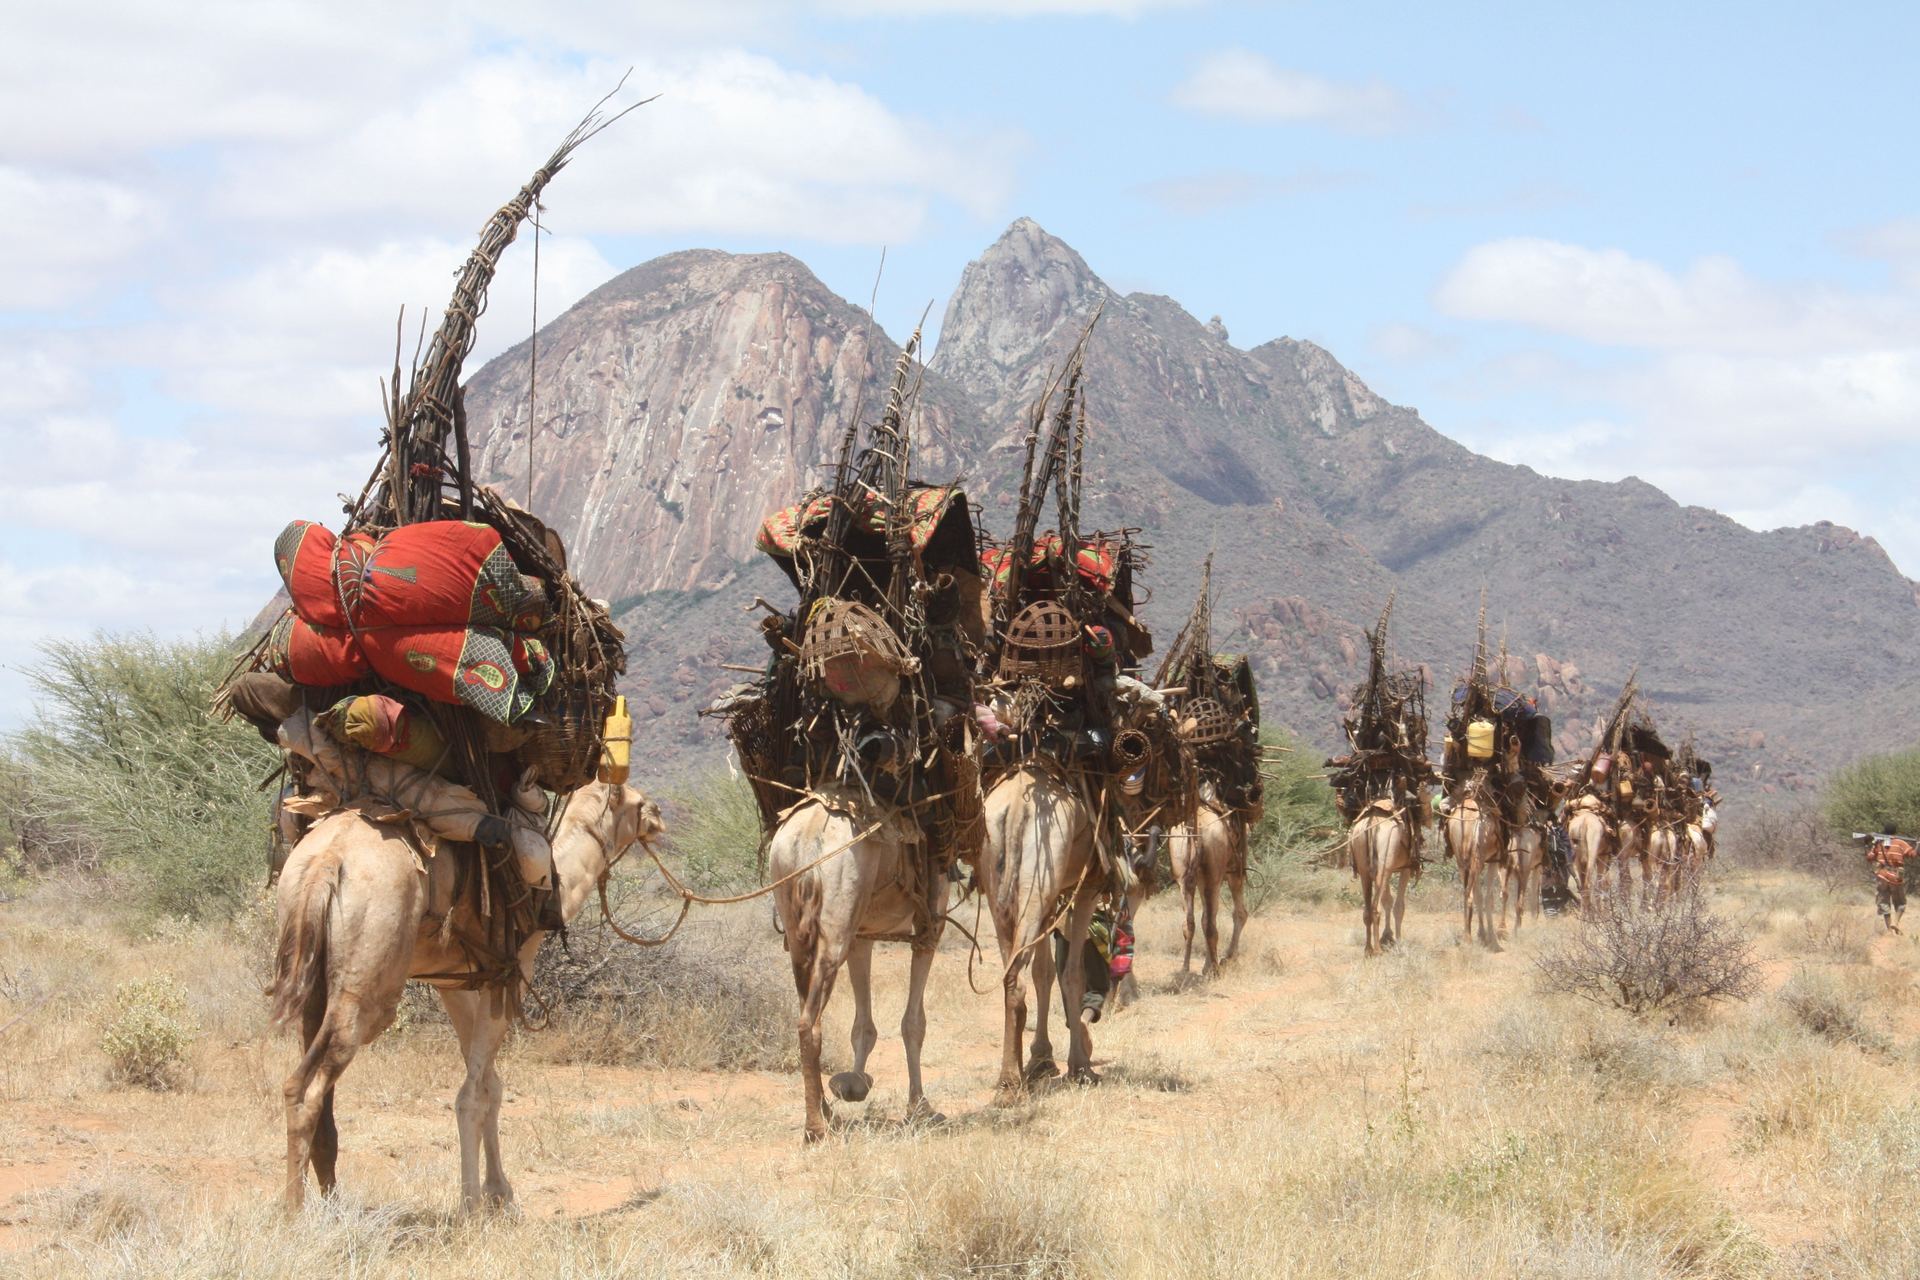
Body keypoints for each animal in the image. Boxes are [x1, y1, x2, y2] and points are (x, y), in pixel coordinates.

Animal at [271, 782, 664, 1212]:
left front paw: (498, 1191)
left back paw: (327, 1199)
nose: (659, 816)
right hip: (370, 975)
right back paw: (293, 1210)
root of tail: (328, 860)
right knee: (311, 1079)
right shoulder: (508, 975)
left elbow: (491, 1083)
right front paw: (475, 1200)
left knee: (308, 1074)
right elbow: (473, 1093)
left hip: (309, 951)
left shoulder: (455, 983)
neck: (553, 889)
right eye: (636, 800)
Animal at [769, 792, 950, 1144]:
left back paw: (825, 1111)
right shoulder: (930, 925)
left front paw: (854, 1083)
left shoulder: (862, 934)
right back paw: (815, 1129)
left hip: (795, 916)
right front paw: (920, 1107)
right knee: (809, 1022)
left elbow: (863, 1024)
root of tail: (808, 835)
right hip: (838, 910)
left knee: (806, 1006)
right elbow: (914, 1023)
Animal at [977, 761, 1104, 1092]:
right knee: (1019, 976)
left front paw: (1040, 1059)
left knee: (1011, 973)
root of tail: (1017, 806)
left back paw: (1009, 1078)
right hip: (1042, 867)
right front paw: (1080, 1066)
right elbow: (1072, 973)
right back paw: (1011, 1081)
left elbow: (1043, 973)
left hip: (1000, 881)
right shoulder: (1088, 887)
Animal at [1173, 797, 1251, 974]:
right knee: (1223, 918)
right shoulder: (1233, 870)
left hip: (1184, 875)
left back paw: (1185, 968)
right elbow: (1238, 913)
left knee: (1191, 922)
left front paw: (1207, 965)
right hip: (1219, 873)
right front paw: (1226, 959)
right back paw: (1218, 967)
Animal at [1347, 800, 1418, 955]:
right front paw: (1398, 942)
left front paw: (1387, 937)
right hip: (1385, 859)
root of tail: (1371, 822)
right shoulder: (1405, 869)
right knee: (1375, 907)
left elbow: (1387, 900)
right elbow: (1398, 906)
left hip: (1365, 865)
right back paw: (1377, 950)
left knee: (1367, 908)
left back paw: (1368, 949)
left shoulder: (1389, 870)